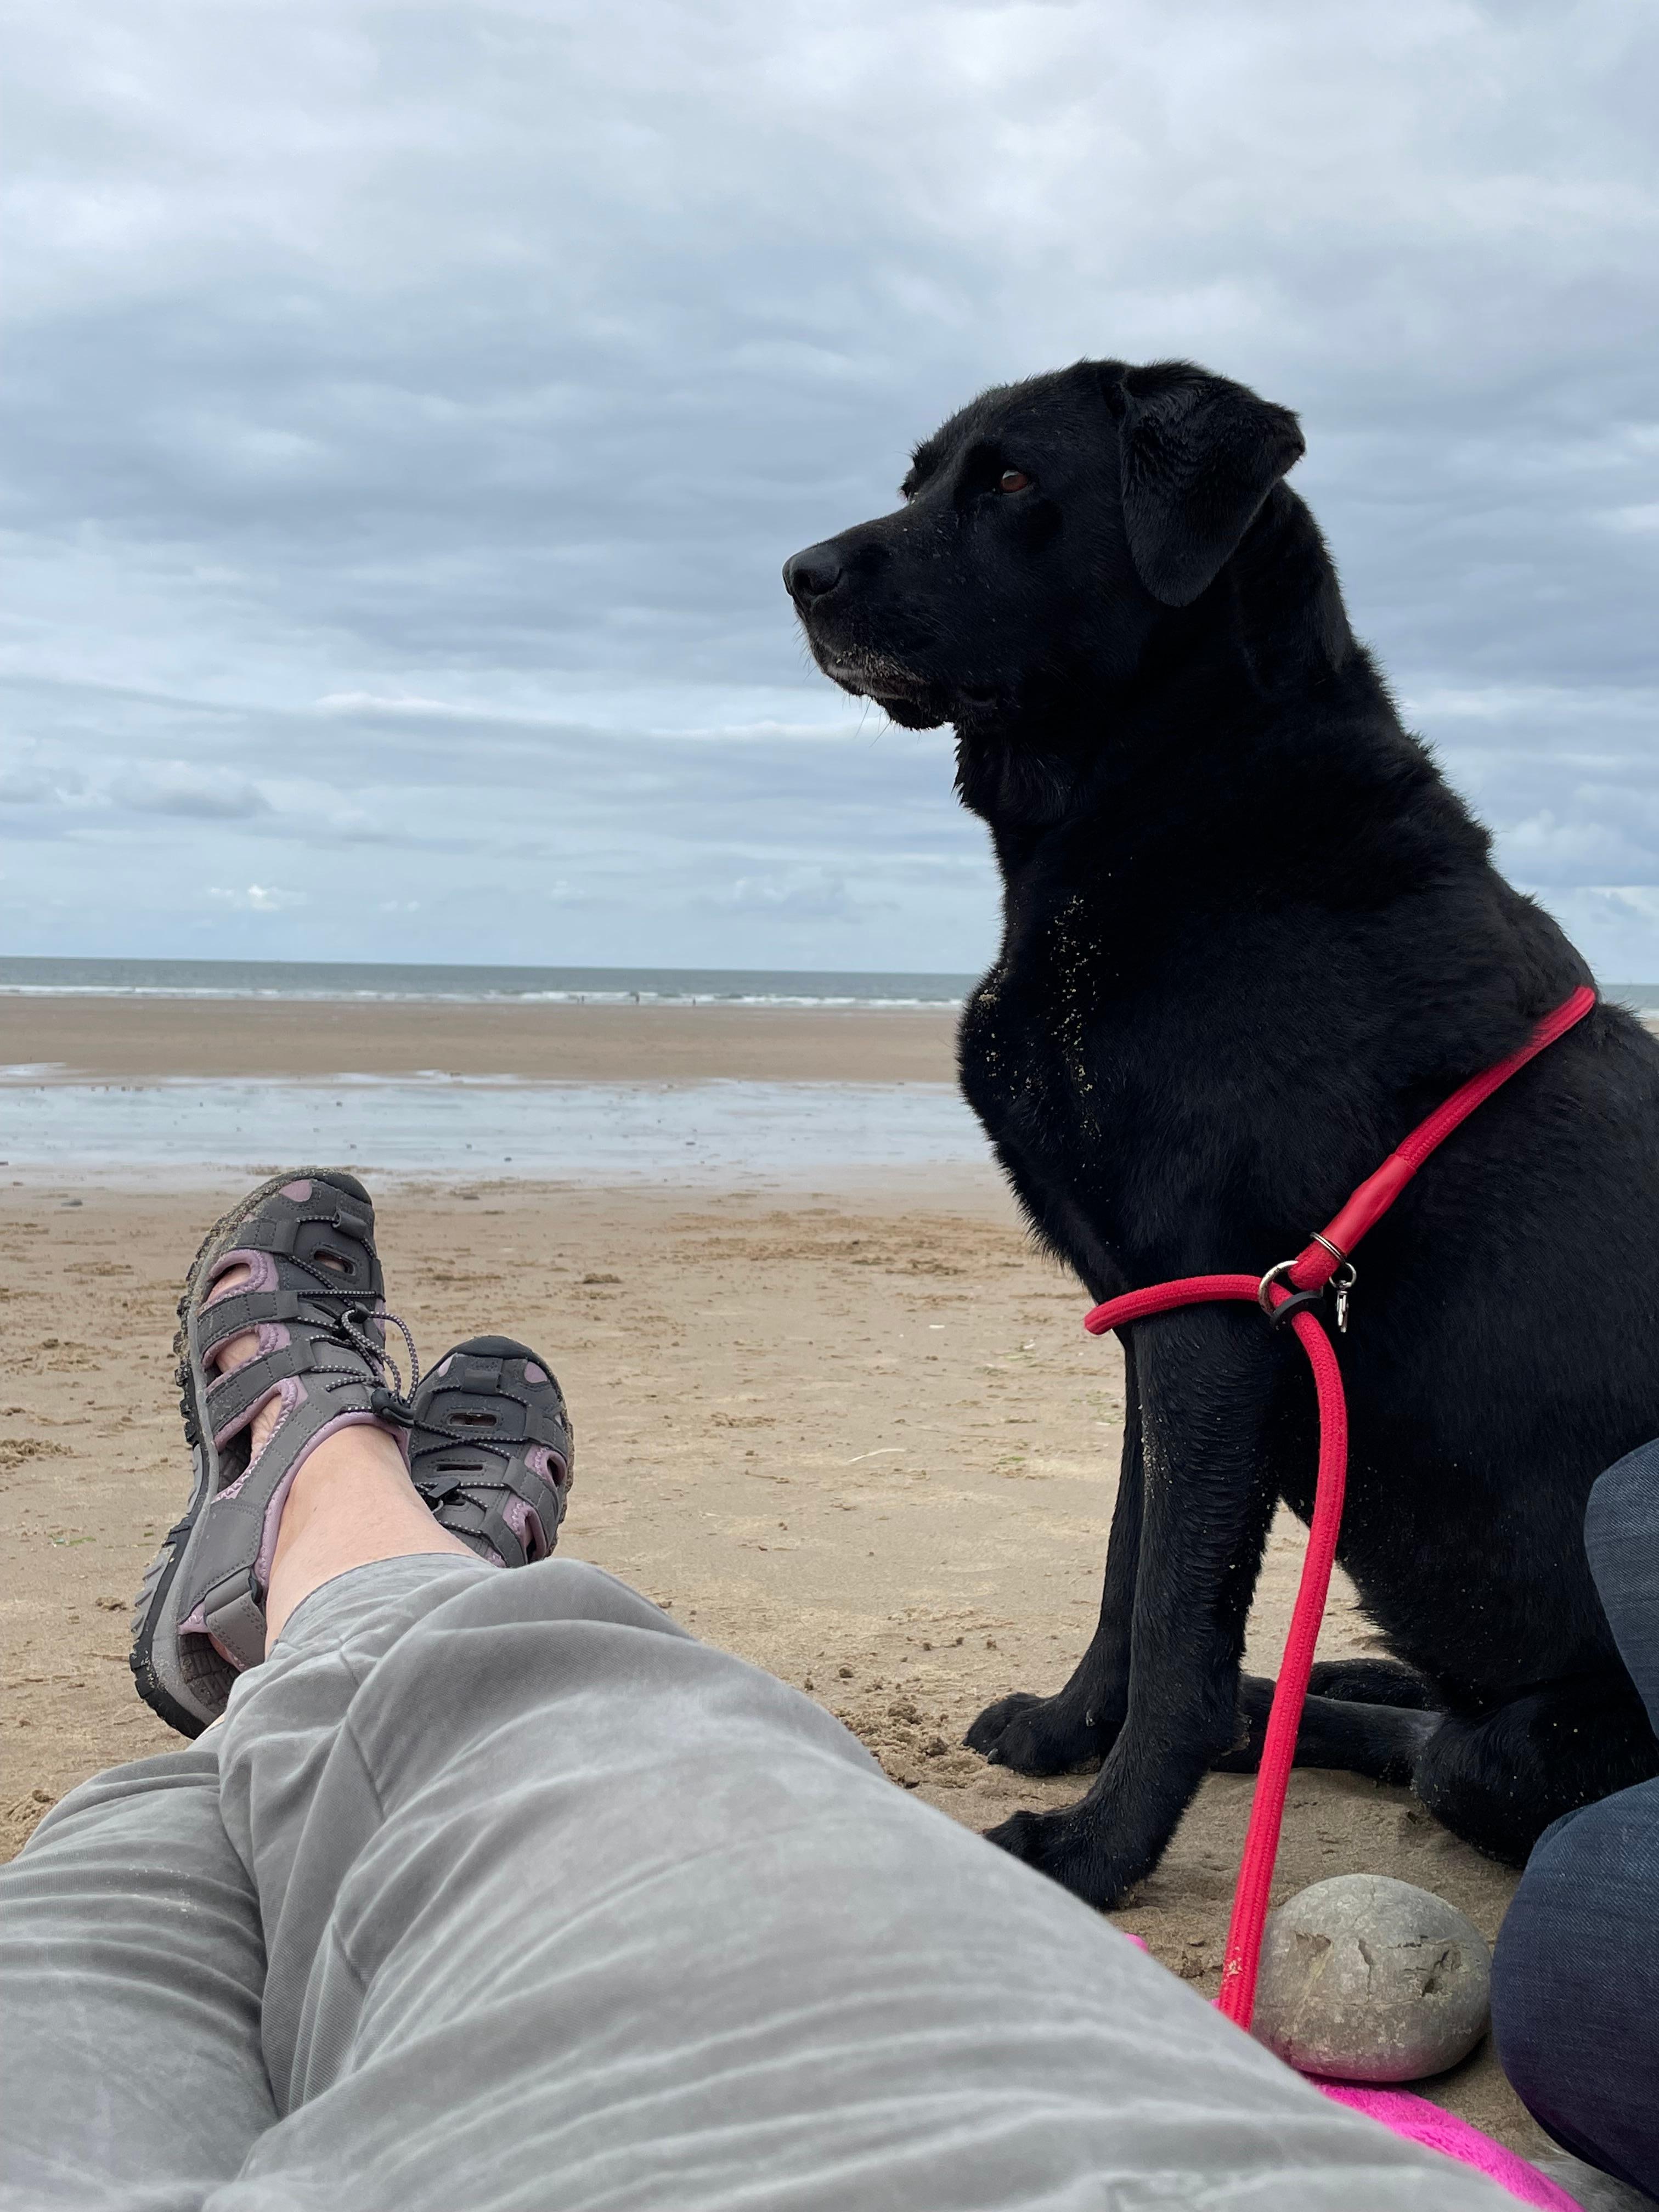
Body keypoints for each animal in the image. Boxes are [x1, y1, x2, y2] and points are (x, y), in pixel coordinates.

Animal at [787, 358, 1659, 1902]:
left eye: (1012, 482)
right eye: (918, 475)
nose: (799, 576)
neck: (1173, 801)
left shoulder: (1220, 1316)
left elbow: (1177, 1626)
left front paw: (1100, 1844)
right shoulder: (1168, 1306)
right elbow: (1131, 1568)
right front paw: (1072, 1730)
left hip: (1543, 1744)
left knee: (1450, 1751)